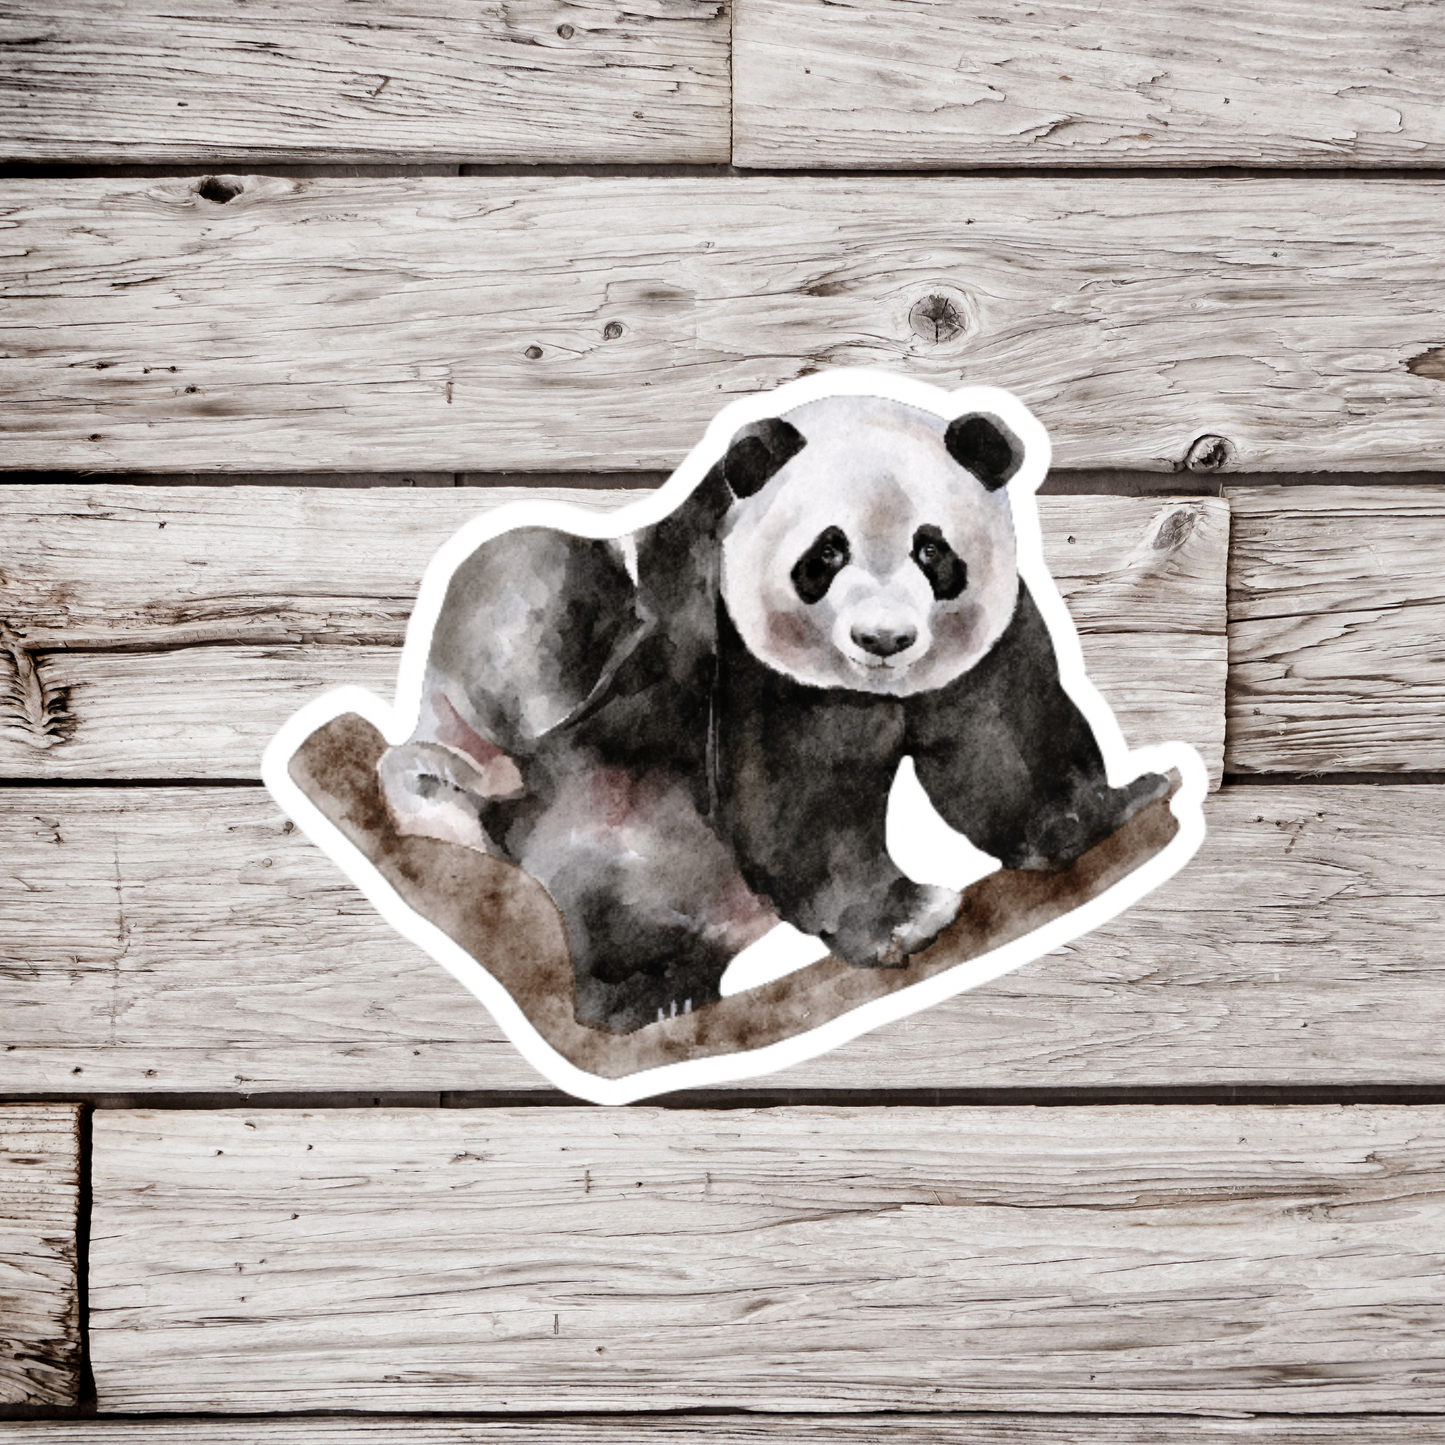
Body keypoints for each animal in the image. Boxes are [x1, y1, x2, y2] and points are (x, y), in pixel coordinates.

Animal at [375, 387, 1167, 1032]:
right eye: (826, 555)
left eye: (932, 549)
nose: (884, 640)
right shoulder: (740, 643)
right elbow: (796, 796)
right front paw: (904, 918)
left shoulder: (988, 643)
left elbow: (1004, 744)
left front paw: (1098, 811)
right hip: (608, 804)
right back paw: (643, 995)